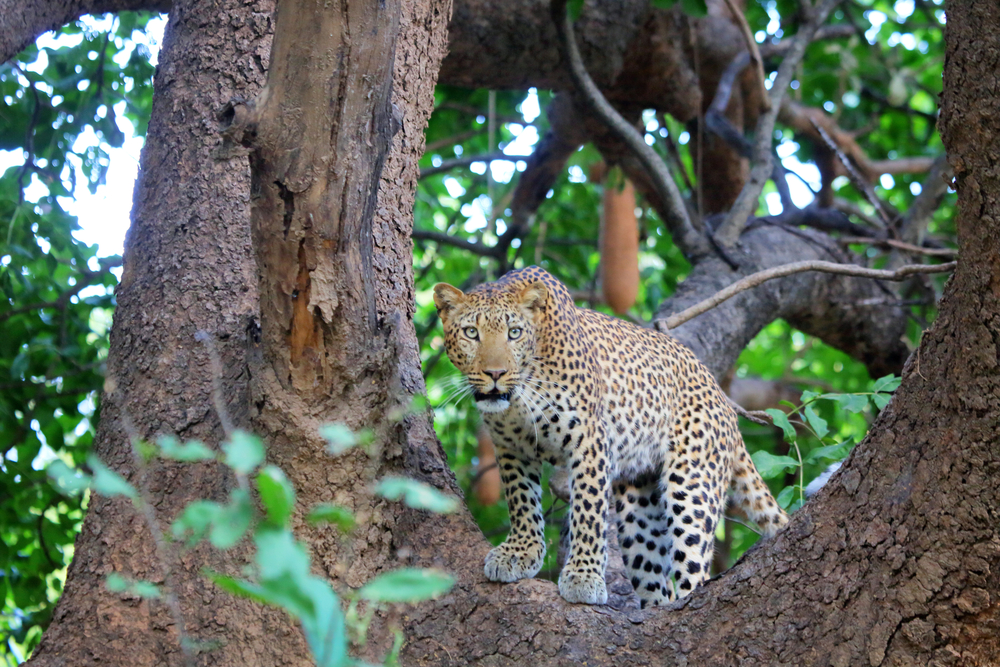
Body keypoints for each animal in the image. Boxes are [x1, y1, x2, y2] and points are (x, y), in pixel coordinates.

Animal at [432, 266, 788, 604]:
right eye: (471, 333)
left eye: (514, 333)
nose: (495, 374)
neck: (523, 392)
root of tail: (724, 403)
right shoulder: (510, 447)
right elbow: (521, 501)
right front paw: (521, 552)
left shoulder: (589, 441)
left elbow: (587, 512)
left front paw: (583, 577)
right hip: (639, 509)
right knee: (657, 583)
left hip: (692, 485)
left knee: (692, 571)